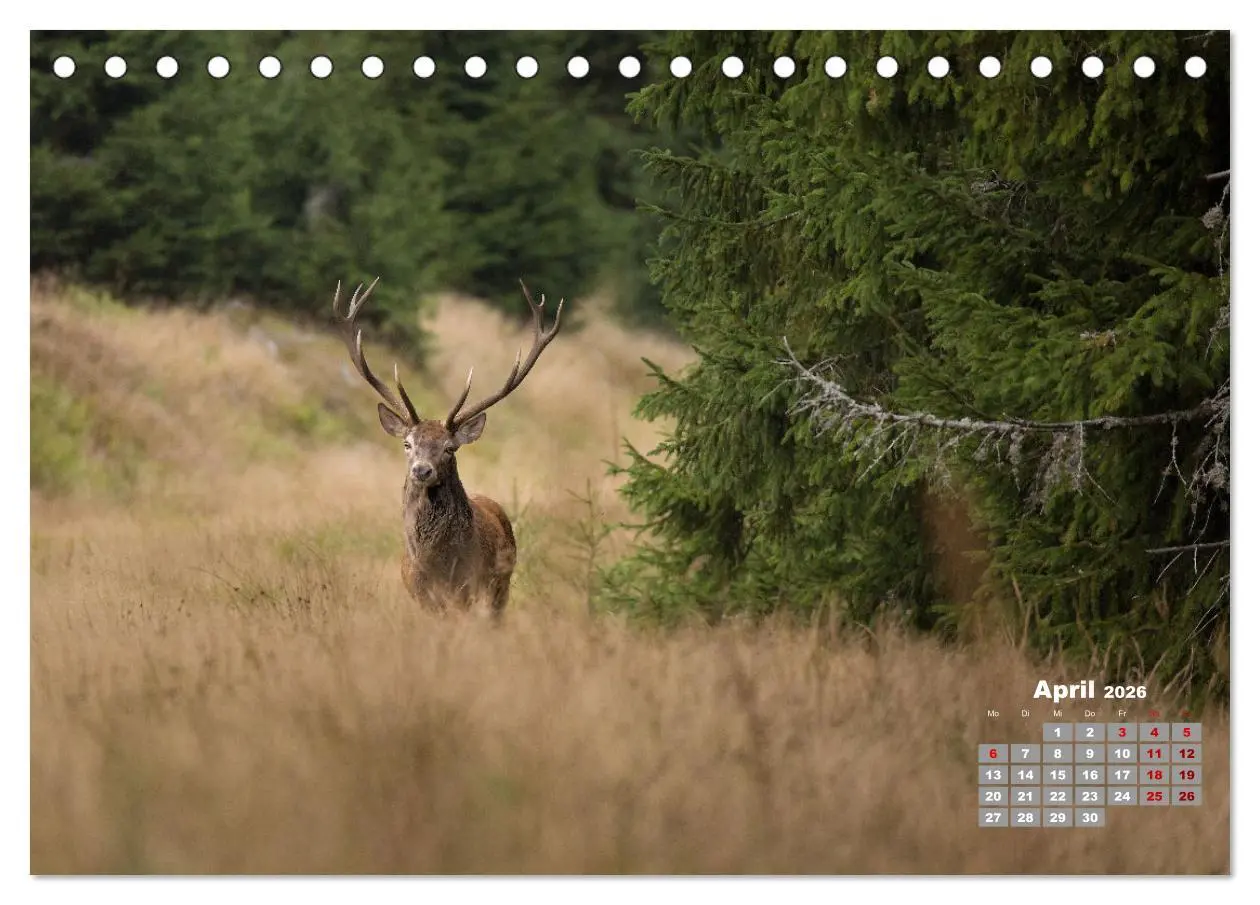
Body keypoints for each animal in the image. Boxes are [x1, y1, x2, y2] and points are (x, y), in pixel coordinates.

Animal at [332, 277, 563, 615]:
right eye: (407, 443)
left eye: (450, 448)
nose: (422, 470)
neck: (436, 566)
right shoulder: (420, 596)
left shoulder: (468, 592)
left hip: (500, 588)